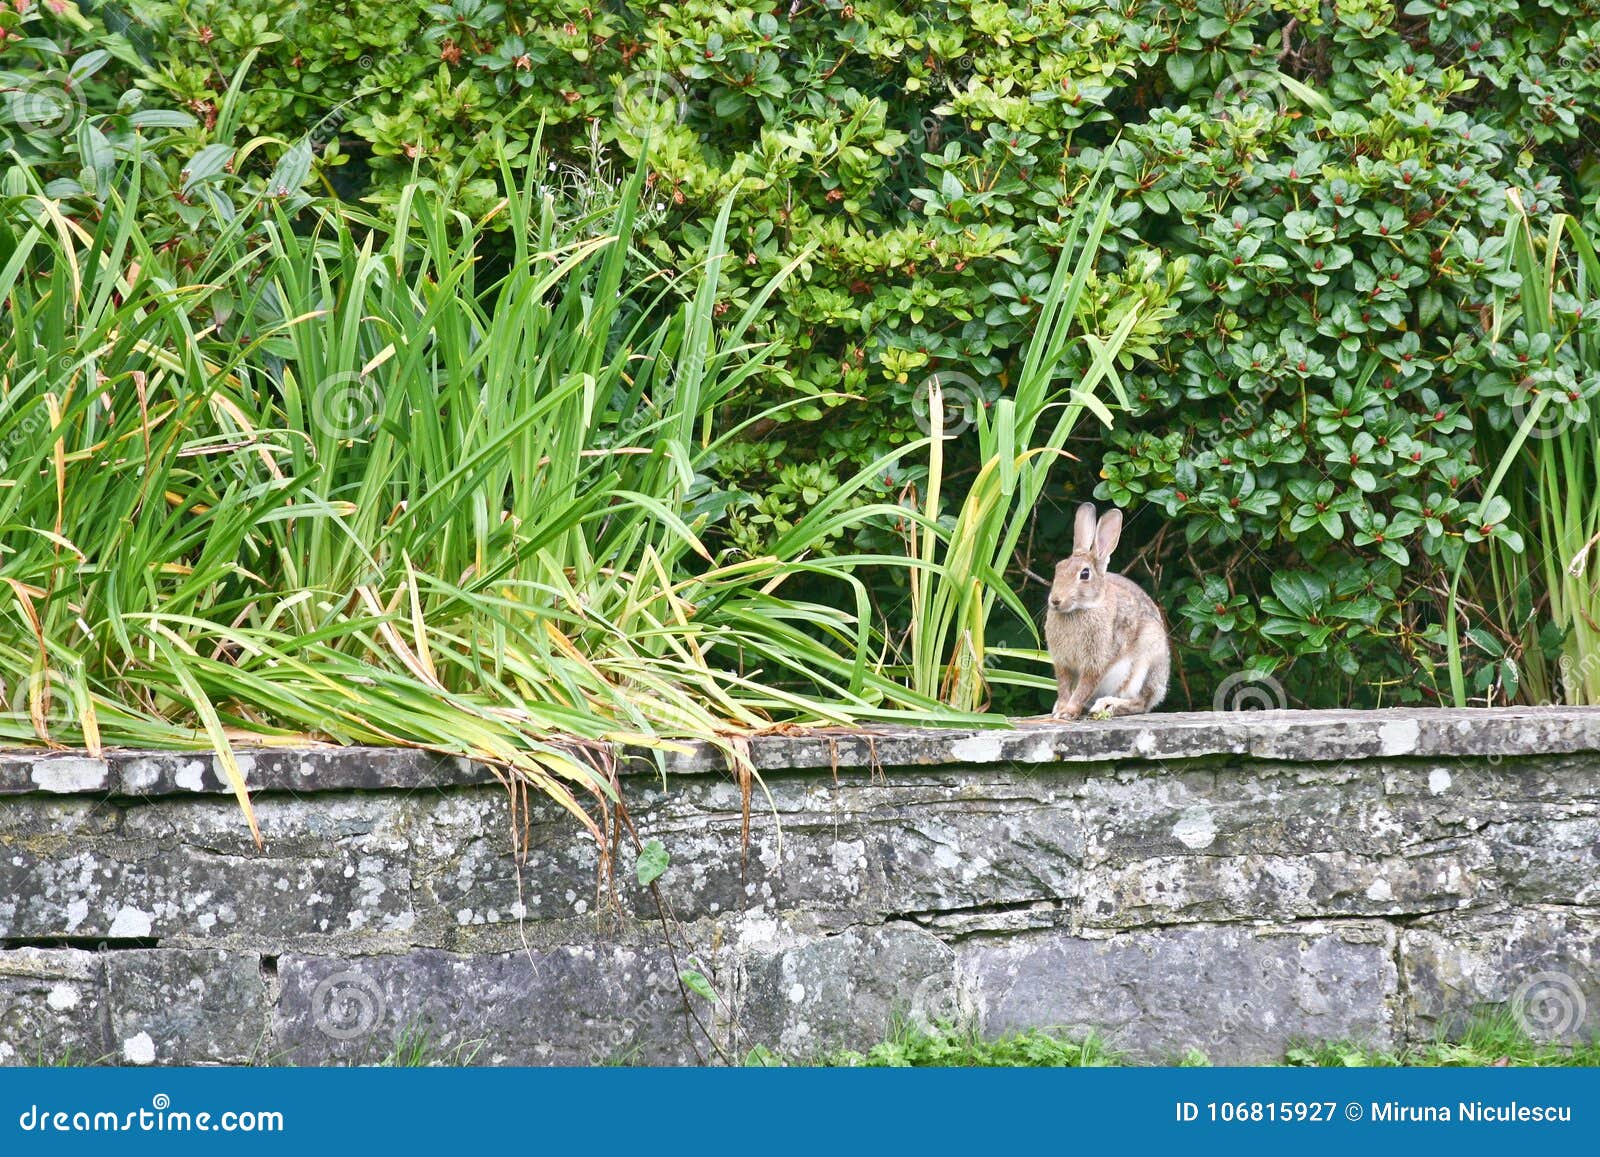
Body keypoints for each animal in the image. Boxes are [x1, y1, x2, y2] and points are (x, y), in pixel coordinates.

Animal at [1044, 502, 1171, 719]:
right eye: (1058, 568)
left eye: (1084, 574)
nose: (1055, 601)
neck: (1082, 608)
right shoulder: (1063, 664)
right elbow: (1064, 686)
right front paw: (1060, 709)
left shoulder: (1096, 661)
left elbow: (1084, 686)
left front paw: (1068, 712)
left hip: (1145, 661)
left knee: (1140, 703)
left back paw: (1107, 705)